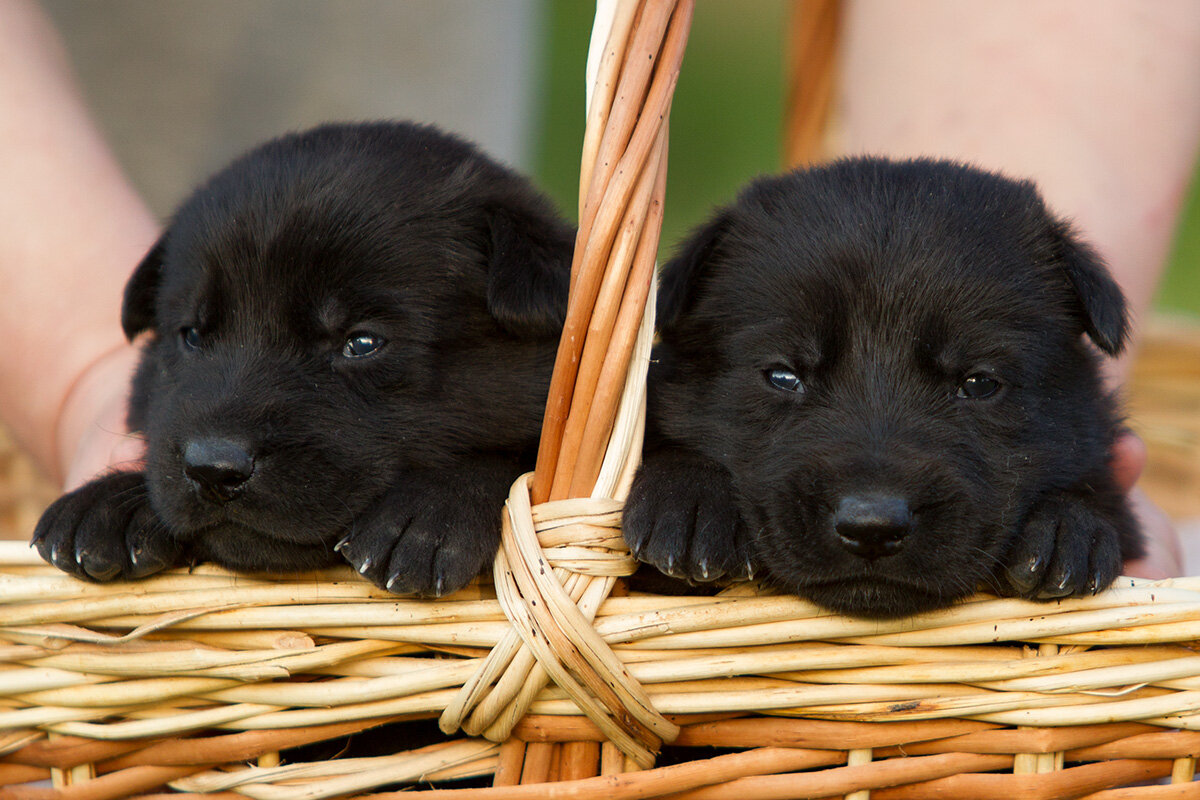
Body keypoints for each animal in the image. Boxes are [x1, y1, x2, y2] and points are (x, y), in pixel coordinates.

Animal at [34, 118, 576, 594]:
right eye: (191, 335)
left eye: (362, 343)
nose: (214, 468)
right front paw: (112, 504)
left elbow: (512, 459)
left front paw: (428, 514)